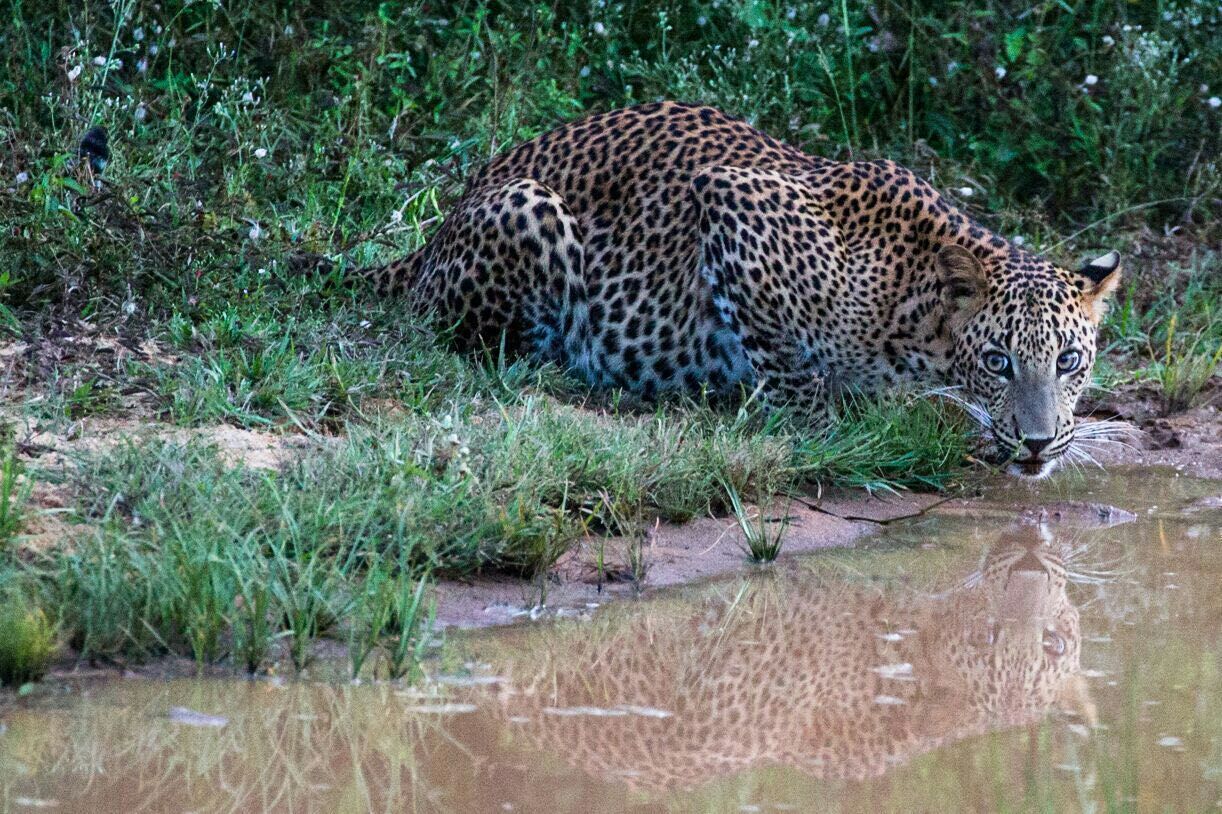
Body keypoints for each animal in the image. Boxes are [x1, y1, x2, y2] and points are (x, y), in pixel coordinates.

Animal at [361, 100, 1124, 476]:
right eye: (998, 361)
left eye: (1069, 361)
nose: (1037, 443)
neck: (917, 317)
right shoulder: (731, 207)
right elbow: (786, 370)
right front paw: (818, 425)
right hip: (529, 205)